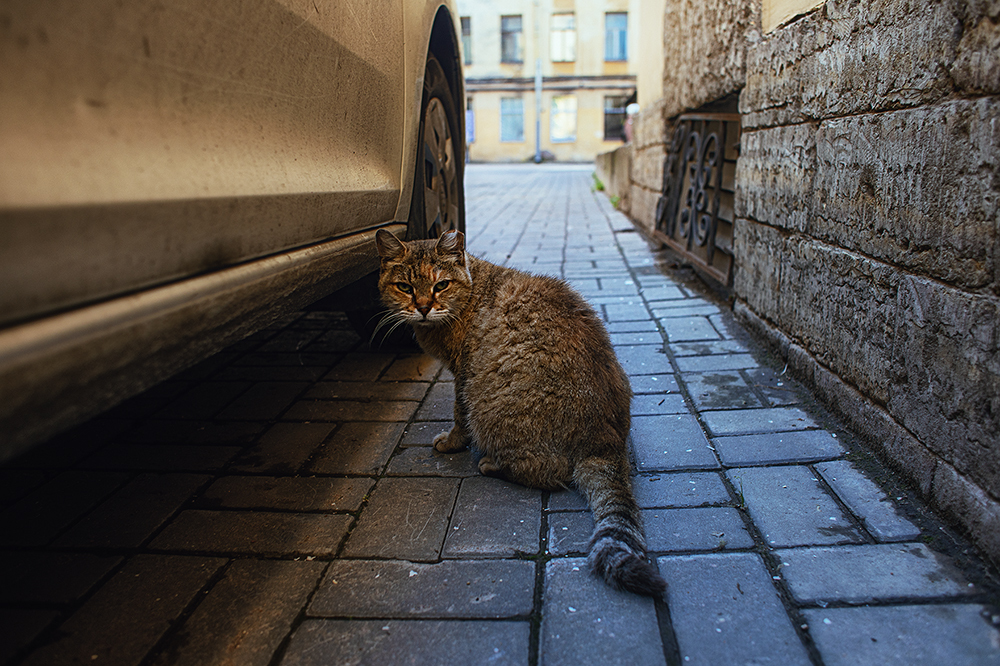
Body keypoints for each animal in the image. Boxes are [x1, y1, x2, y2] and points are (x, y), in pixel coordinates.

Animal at [374, 228, 664, 596]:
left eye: (441, 285)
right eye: (405, 287)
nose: (423, 307)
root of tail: (605, 442)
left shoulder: (463, 375)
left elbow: (458, 416)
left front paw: (452, 442)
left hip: (489, 407)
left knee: (550, 471)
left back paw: (492, 464)